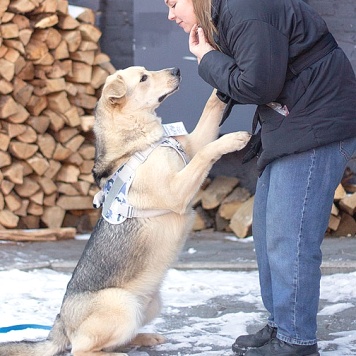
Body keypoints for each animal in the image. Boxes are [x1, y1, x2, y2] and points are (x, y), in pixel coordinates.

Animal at [0, 65, 250, 354]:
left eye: (147, 71)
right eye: (143, 78)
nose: (177, 69)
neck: (140, 141)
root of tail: (59, 325)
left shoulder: (191, 146)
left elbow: (210, 112)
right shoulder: (176, 190)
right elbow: (206, 153)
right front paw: (233, 139)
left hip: (149, 306)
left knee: (120, 337)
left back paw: (145, 338)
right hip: (123, 306)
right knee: (81, 349)